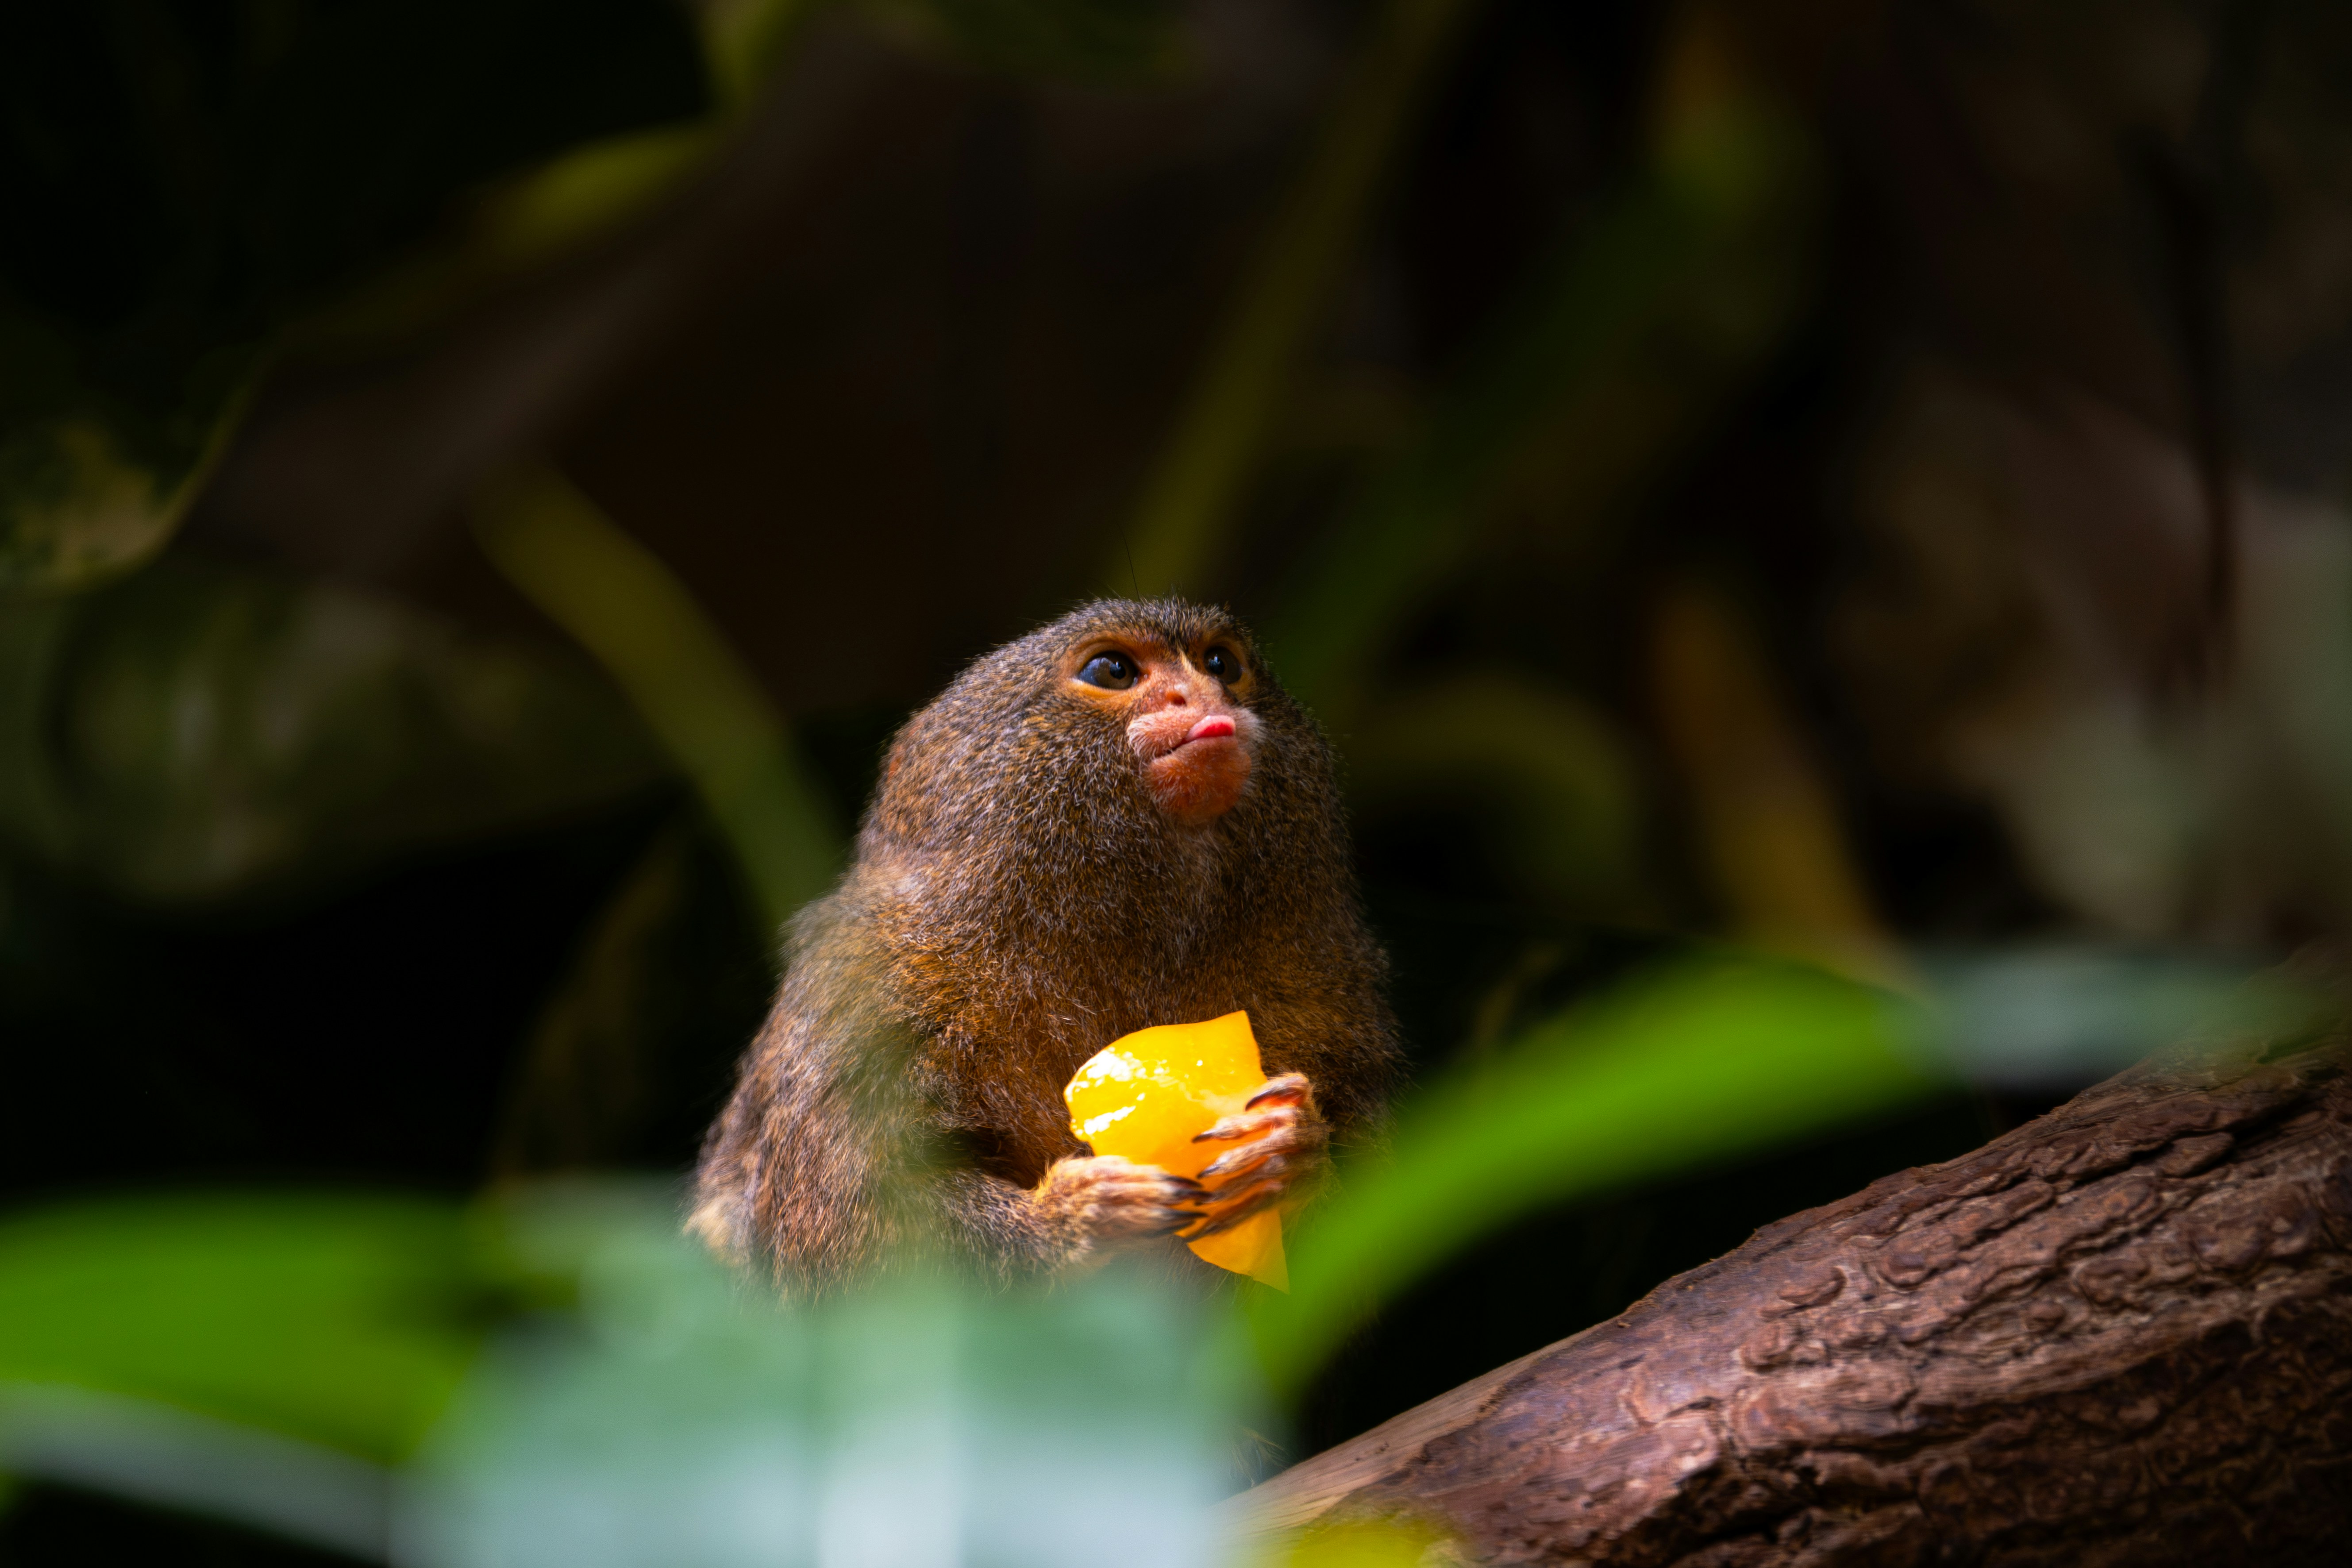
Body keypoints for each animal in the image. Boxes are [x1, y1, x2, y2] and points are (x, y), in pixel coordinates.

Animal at [688, 598, 1400, 1288]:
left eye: (1220, 664)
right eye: (1114, 672)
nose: (1203, 697)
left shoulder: (1324, 971)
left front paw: (1293, 1150)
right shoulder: (863, 989)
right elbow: (844, 1227)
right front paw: (1072, 1219)